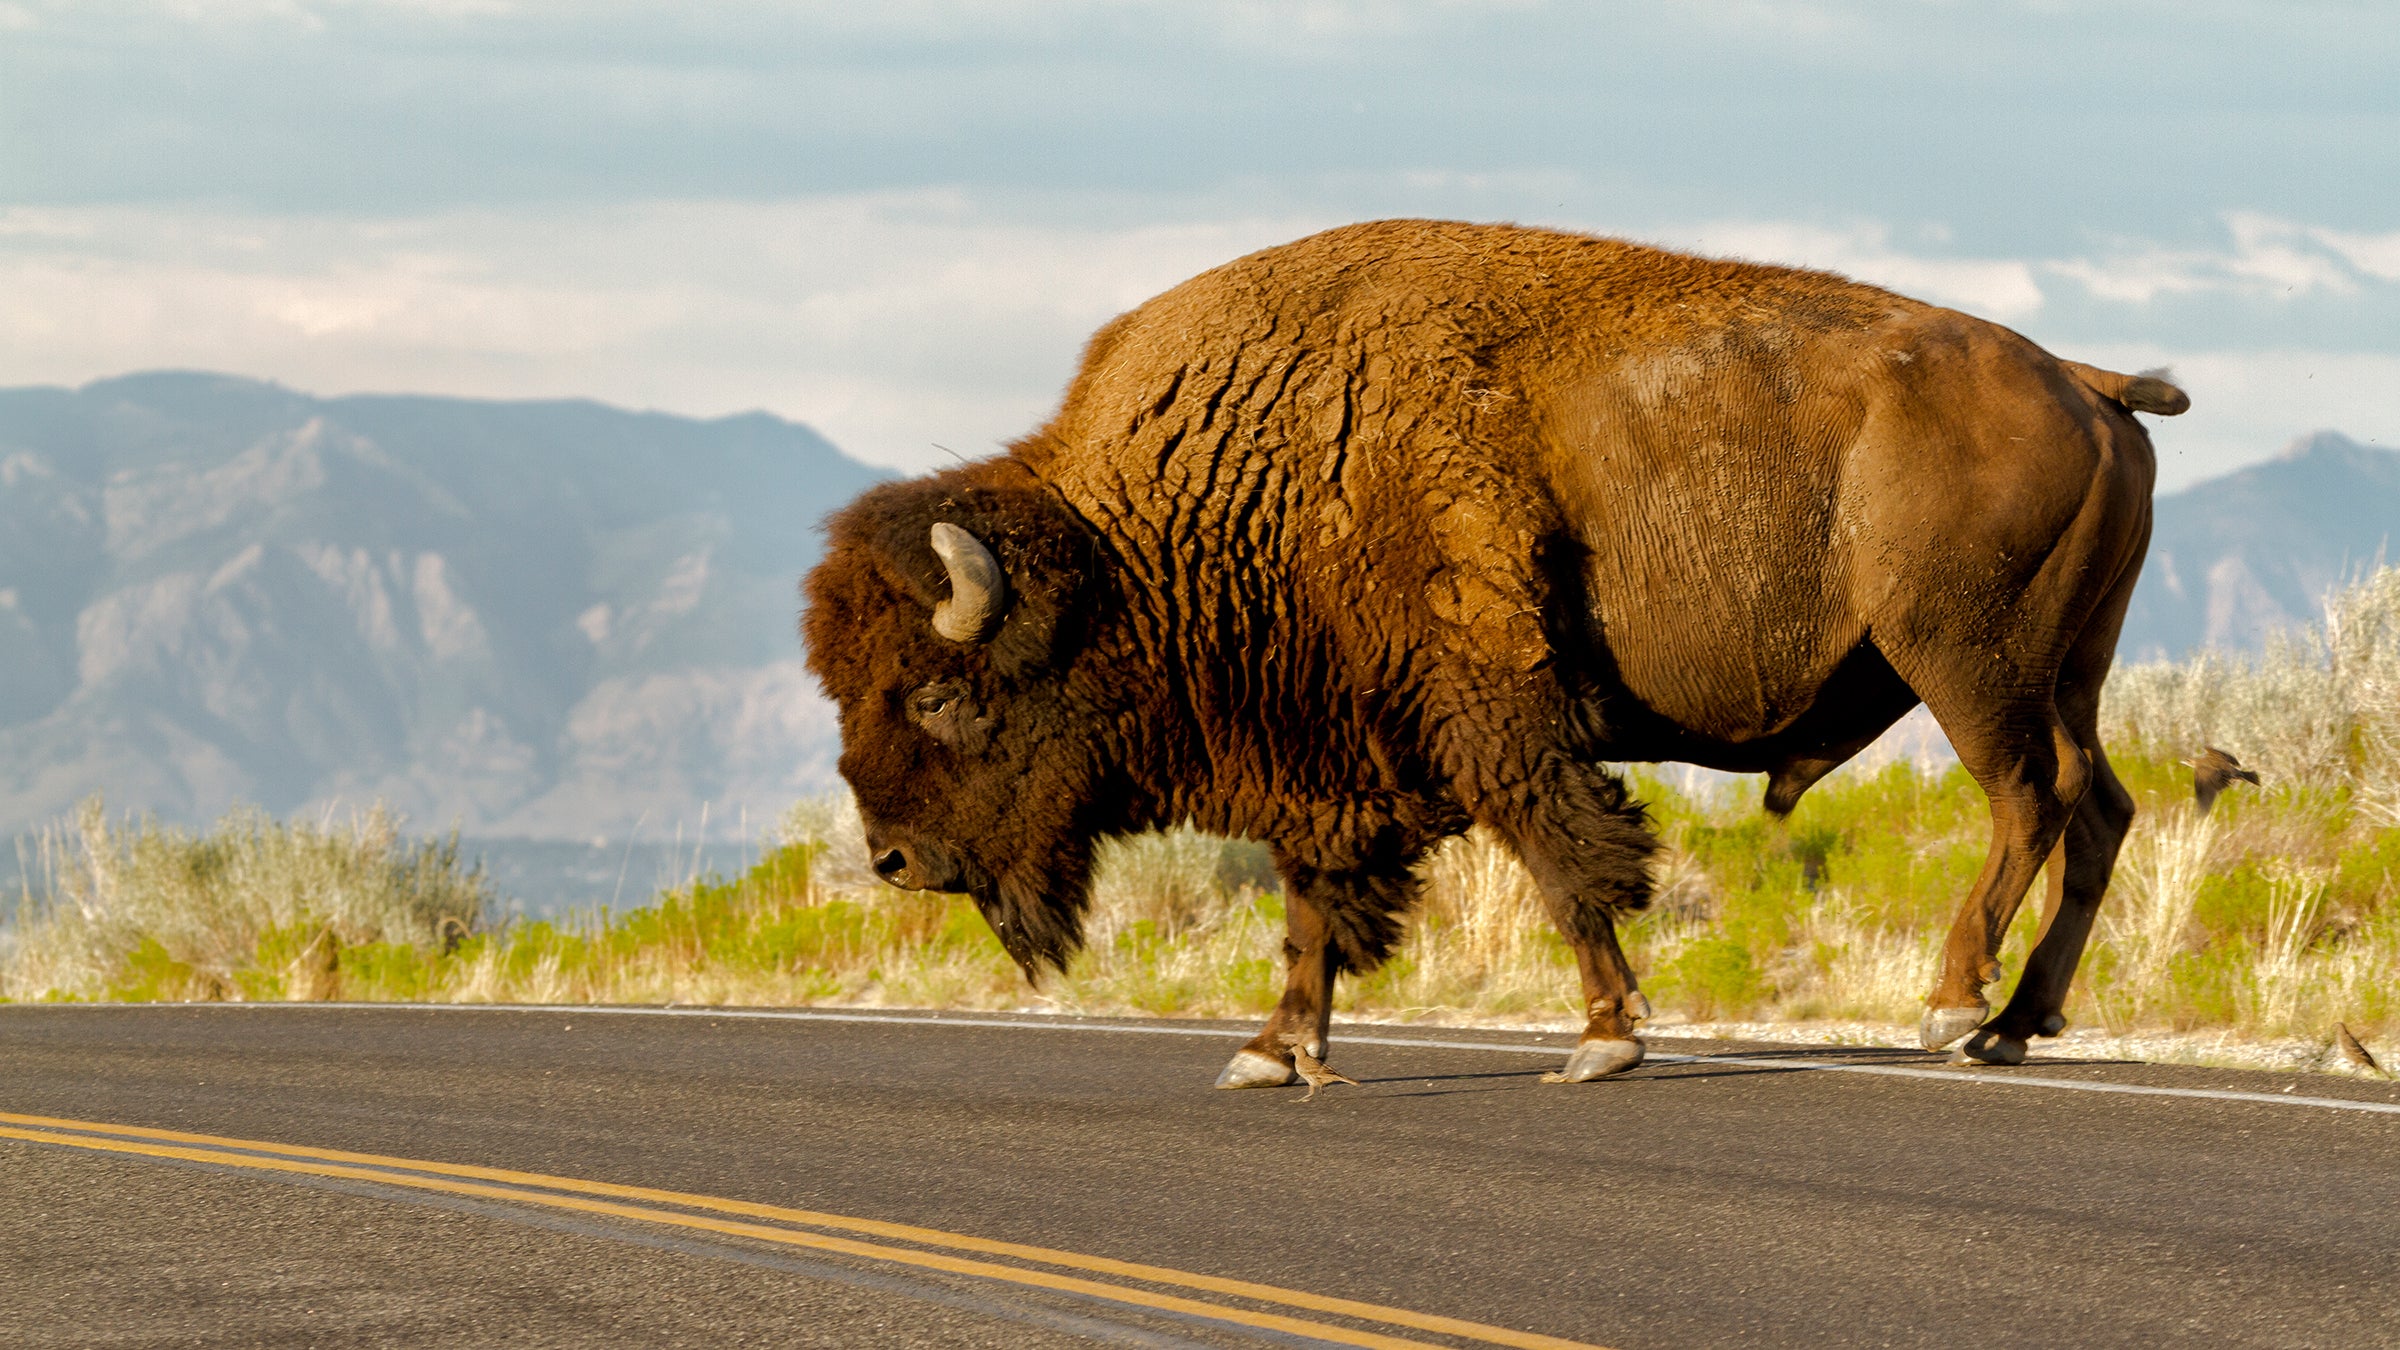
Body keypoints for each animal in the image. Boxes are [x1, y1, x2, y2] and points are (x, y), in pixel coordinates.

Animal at [801, 220, 2179, 1080]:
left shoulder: (1488, 710)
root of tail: (2082, 379)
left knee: (2030, 796)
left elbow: (1561, 854)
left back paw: (1954, 1007)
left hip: (1965, 660)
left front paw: (1605, 1037)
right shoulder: (1330, 752)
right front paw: (1272, 1051)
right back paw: (2020, 1021)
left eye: (939, 695)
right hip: (2068, 666)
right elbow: (1314, 903)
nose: (895, 858)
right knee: (2101, 804)